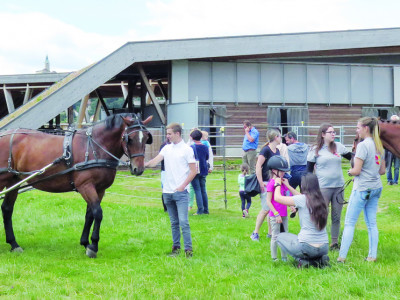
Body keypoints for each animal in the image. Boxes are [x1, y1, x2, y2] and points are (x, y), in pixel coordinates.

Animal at [0, 112, 153, 258]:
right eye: (129, 139)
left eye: (146, 138)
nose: (138, 169)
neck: (95, 146)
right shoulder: (85, 186)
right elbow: (98, 213)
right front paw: (93, 246)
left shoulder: (100, 189)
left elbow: (89, 214)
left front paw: (85, 243)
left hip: (14, 181)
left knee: (7, 209)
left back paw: (14, 244)